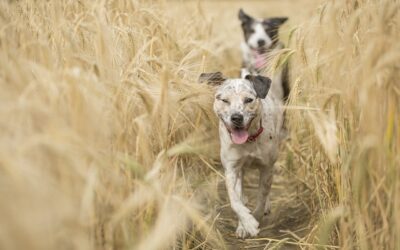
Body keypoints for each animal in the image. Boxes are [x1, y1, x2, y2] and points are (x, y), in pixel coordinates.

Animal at [198, 72, 286, 238]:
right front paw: (246, 223)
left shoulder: (266, 167)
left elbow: (261, 196)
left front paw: (254, 219)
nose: (236, 117)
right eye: (224, 100)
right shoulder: (232, 169)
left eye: (248, 100)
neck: (249, 141)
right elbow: (234, 200)